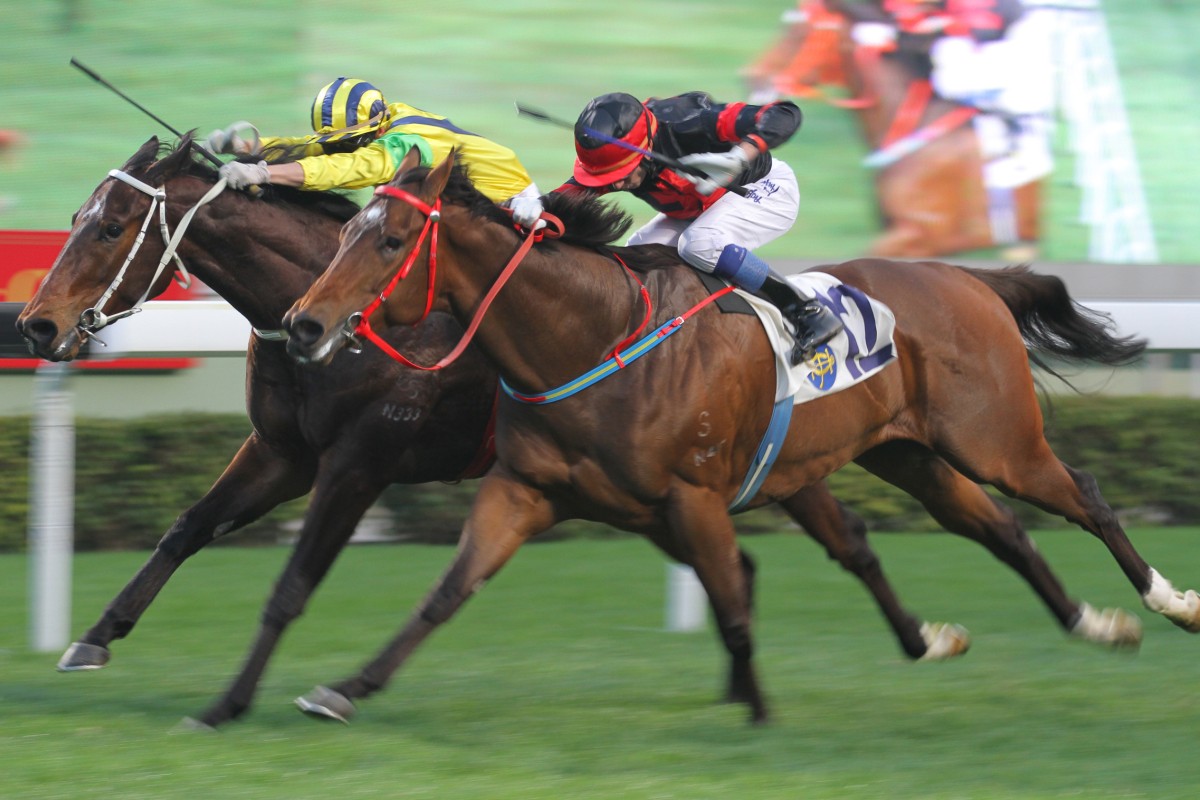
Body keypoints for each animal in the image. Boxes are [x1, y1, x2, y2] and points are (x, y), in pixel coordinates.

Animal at [16, 136, 974, 724]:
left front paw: (231, 703)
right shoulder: (284, 452)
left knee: (842, 543)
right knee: (749, 559)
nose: (34, 326)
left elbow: (292, 584)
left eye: (109, 225)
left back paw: (920, 639)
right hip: (666, 489)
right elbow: (186, 528)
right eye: (77, 218)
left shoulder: (360, 461)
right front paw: (92, 639)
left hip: (757, 470)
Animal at [283, 153, 1200, 729]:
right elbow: (446, 593)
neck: (589, 336)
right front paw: (345, 688)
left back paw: (1168, 602)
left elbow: (728, 600)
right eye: (345, 232)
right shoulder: (525, 490)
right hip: (906, 452)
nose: (303, 325)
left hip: (995, 439)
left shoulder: (693, 497)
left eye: (390, 241)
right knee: (999, 529)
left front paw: (757, 710)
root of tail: (969, 278)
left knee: (1082, 495)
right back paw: (1087, 624)